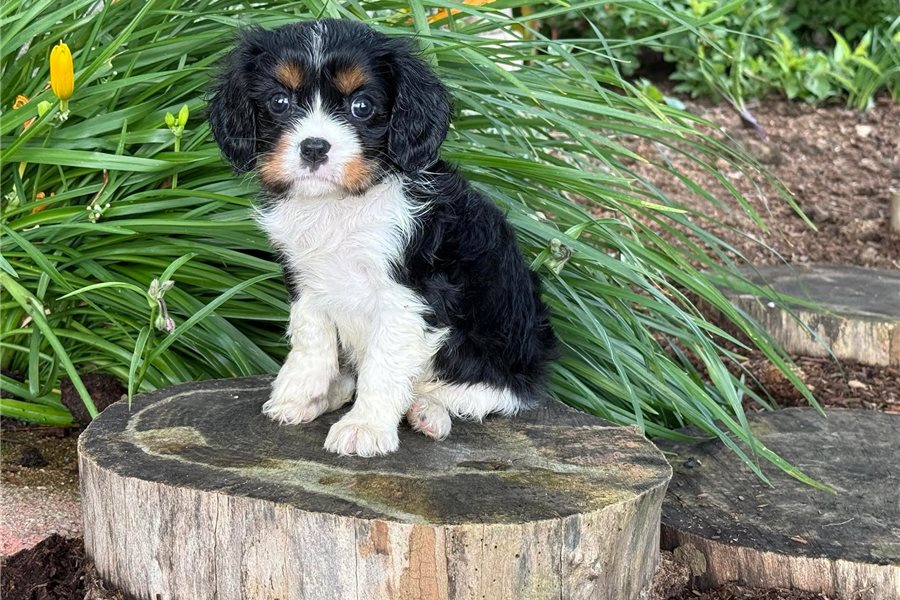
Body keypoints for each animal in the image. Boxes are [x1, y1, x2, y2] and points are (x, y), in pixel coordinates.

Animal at [208, 19, 557, 456]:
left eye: (362, 106)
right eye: (279, 102)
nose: (314, 148)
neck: (339, 204)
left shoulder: (408, 298)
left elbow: (383, 367)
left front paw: (366, 427)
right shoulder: (305, 277)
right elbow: (310, 335)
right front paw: (301, 390)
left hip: (501, 351)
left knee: (486, 393)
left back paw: (428, 411)